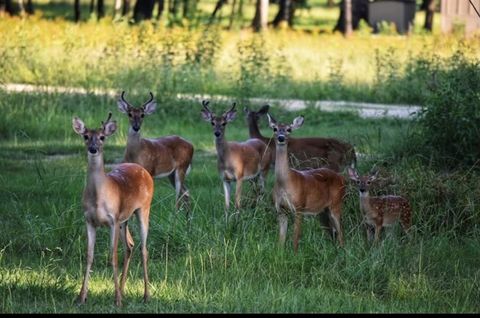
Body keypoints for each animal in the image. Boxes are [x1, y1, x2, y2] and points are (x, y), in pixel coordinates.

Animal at [72, 113, 154, 306]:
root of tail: (142, 169)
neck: (98, 198)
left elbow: (113, 256)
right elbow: (89, 256)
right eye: (86, 136)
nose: (93, 149)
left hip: (143, 209)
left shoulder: (113, 220)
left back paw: (146, 295)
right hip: (125, 219)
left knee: (143, 249)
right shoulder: (89, 220)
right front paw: (81, 297)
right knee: (130, 245)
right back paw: (123, 291)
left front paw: (116, 301)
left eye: (102, 137)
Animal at [266, 112, 344, 253]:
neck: (285, 183)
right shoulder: (280, 210)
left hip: (336, 203)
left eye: (289, 129)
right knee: (332, 233)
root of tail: (342, 178)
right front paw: (280, 254)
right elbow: (281, 240)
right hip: (323, 212)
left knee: (341, 233)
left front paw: (295, 255)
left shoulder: (299, 207)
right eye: (274, 128)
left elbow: (295, 238)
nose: (281, 138)